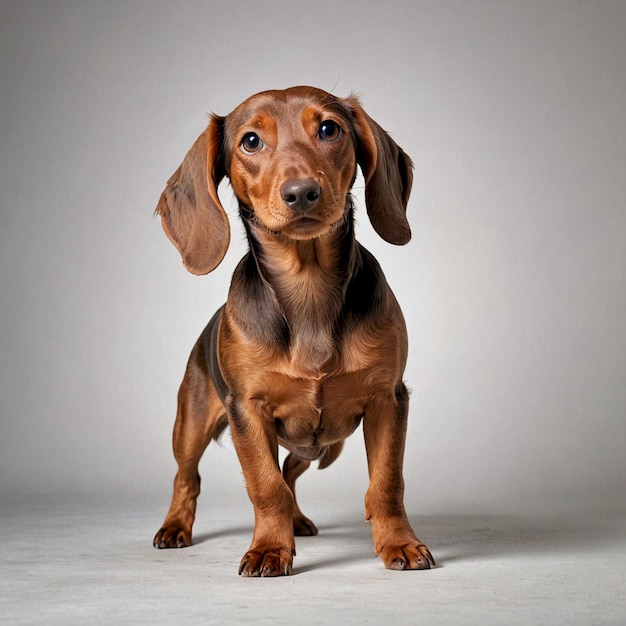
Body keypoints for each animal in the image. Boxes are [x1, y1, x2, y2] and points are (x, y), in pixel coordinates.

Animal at [154, 85, 432, 572]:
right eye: (250, 141)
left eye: (329, 129)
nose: (302, 192)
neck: (309, 290)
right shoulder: (248, 411)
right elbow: (266, 488)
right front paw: (269, 548)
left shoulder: (388, 399)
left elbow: (385, 483)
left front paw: (398, 543)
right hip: (190, 426)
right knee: (187, 477)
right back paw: (175, 527)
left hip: (316, 444)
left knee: (290, 470)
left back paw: (300, 520)